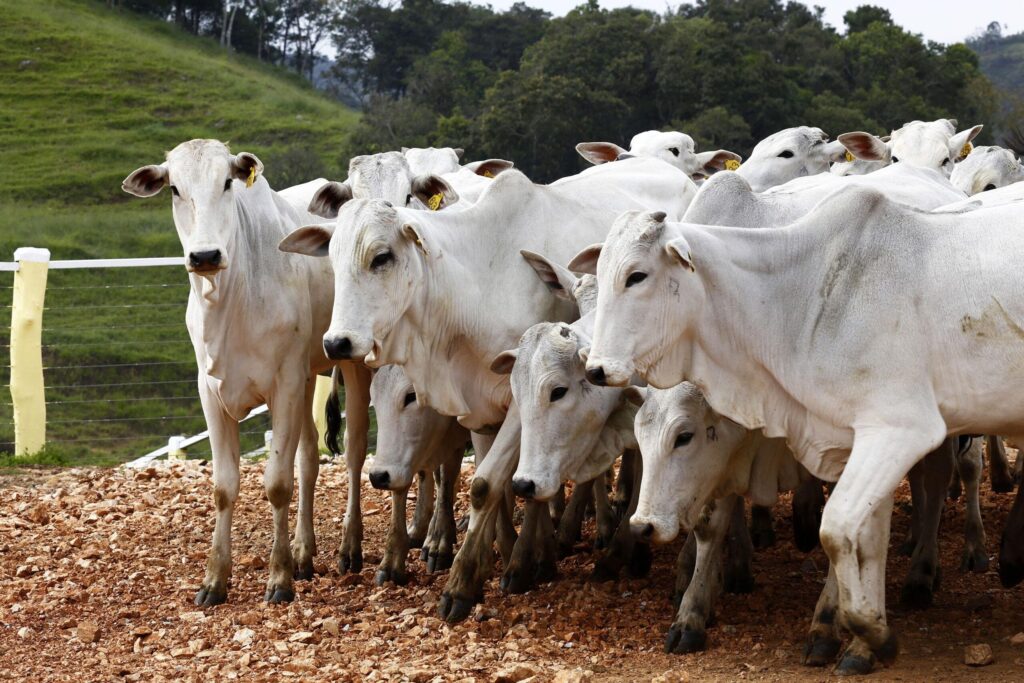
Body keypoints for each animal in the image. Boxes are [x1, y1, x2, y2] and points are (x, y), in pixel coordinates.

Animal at [121, 137, 374, 602]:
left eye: (227, 182)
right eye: (174, 189)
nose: (204, 255)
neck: (231, 301)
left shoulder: (284, 385)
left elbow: (277, 483)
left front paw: (278, 578)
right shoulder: (211, 390)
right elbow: (225, 487)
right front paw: (215, 580)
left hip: (350, 364)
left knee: (353, 451)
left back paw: (349, 548)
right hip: (308, 376)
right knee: (308, 458)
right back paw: (304, 553)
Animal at [278, 156, 696, 626]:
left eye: (381, 256)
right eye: (331, 259)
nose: (337, 343)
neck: (474, 282)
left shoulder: (522, 404)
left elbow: (490, 484)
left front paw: (473, 580)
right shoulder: (478, 407)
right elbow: (491, 483)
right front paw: (504, 552)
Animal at [581, 200, 1024, 675]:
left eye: (637, 275)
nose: (596, 369)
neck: (801, 298)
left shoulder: (900, 430)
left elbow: (836, 529)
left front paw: (868, 633)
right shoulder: (856, 443)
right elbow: (867, 540)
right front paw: (862, 644)